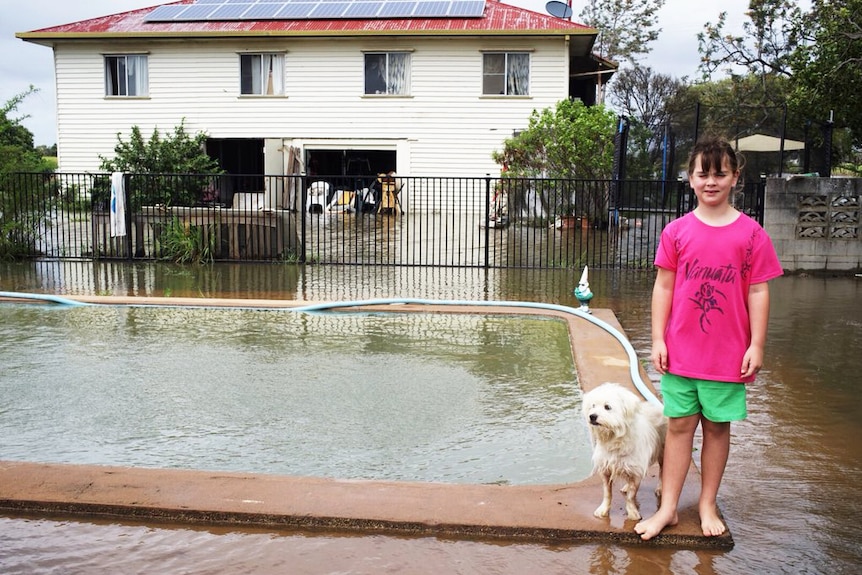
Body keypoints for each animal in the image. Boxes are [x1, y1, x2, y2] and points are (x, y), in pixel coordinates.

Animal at [584, 382, 672, 520]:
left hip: (663, 452)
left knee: (662, 470)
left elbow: (631, 496)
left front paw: (632, 513)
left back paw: (660, 488)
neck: (614, 439)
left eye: (607, 407)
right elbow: (607, 493)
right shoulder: (605, 469)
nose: (592, 416)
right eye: (593, 406)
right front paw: (603, 510)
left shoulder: (635, 471)